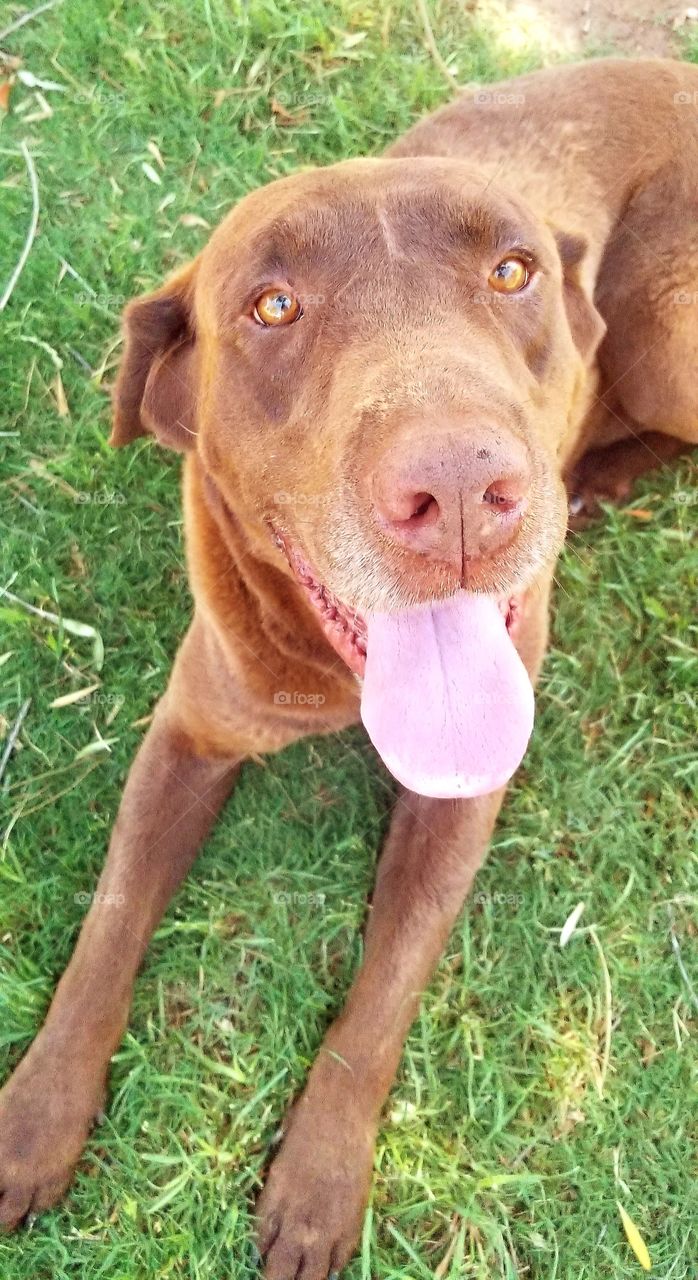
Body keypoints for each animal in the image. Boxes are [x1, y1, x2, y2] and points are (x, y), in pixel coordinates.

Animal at [0, 57, 691, 1269]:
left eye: (512, 270)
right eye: (272, 305)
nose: (459, 489)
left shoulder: (461, 797)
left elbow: (380, 999)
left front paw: (318, 1184)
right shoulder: (188, 731)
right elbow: (110, 923)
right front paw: (36, 1118)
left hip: (666, 340)